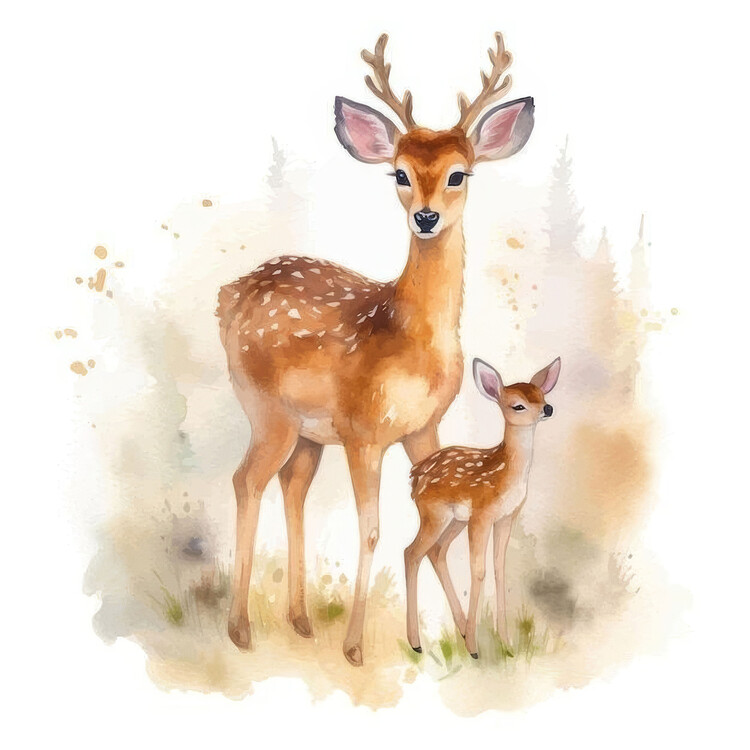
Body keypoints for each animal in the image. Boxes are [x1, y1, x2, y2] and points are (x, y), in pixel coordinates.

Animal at [216, 32, 535, 666]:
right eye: (399, 174)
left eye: (459, 174)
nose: (427, 217)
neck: (410, 341)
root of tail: (228, 295)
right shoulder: (364, 430)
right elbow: (371, 530)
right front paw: (357, 647)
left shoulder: (424, 429)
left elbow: (437, 539)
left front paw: (461, 638)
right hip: (267, 410)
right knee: (247, 482)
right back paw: (240, 629)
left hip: (310, 434)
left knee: (292, 488)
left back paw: (300, 620)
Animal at [405, 356, 561, 658]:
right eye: (518, 405)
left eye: (542, 395)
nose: (548, 408)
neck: (505, 474)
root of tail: (415, 477)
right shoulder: (482, 514)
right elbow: (479, 572)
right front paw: (475, 650)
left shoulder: (506, 517)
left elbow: (499, 569)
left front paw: (507, 643)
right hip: (435, 514)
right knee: (411, 553)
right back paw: (417, 642)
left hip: (455, 520)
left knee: (436, 552)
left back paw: (462, 628)